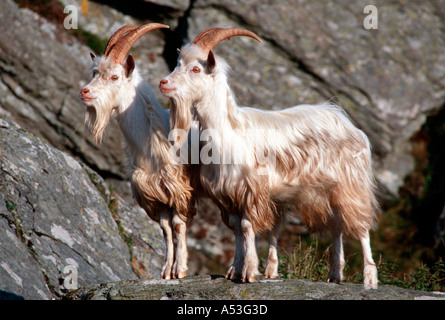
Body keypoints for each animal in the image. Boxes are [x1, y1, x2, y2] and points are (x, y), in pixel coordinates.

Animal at [80, 23, 198, 278]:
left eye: (115, 76)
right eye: (94, 73)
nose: (84, 92)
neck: (154, 136)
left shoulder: (179, 188)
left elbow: (178, 225)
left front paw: (180, 269)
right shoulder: (154, 194)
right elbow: (165, 229)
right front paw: (166, 271)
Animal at [160, 26, 378, 288]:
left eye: (196, 69)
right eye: (178, 63)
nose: (163, 83)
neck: (229, 131)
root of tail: (349, 124)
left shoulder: (252, 190)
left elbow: (247, 227)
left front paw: (249, 272)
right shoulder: (228, 195)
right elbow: (237, 229)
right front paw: (235, 269)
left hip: (351, 183)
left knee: (361, 226)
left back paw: (369, 278)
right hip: (327, 191)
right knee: (337, 225)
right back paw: (335, 274)